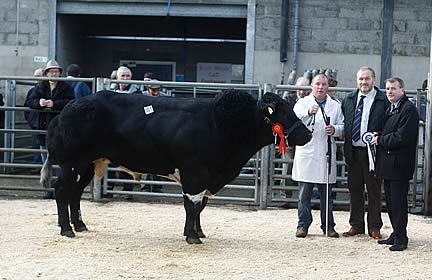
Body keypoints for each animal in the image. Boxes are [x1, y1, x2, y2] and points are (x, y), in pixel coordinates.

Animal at [40, 89, 310, 243]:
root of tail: (66, 109)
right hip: (73, 163)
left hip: (87, 164)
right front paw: (192, 237)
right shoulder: (195, 172)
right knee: (62, 191)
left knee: (74, 194)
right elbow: (192, 205)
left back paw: (80, 225)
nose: (307, 134)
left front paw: (198, 232)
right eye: (281, 113)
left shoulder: (206, 177)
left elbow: (200, 206)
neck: (220, 123)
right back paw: (67, 229)